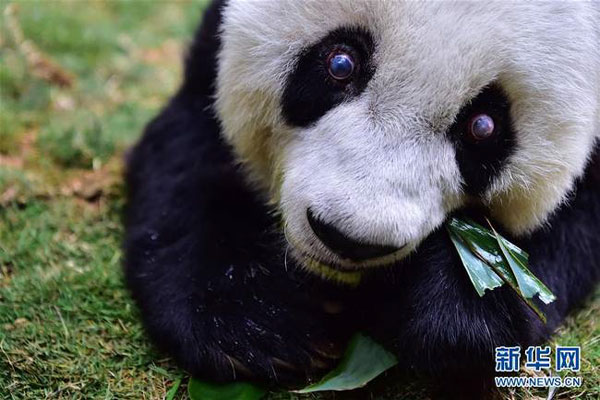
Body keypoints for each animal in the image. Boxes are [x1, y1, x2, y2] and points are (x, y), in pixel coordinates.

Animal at [123, 0, 600, 396]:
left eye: (483, 126)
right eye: (340, 63)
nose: (348, 238)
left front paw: (458, 315)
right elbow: (189, 157)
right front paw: (255, 322)